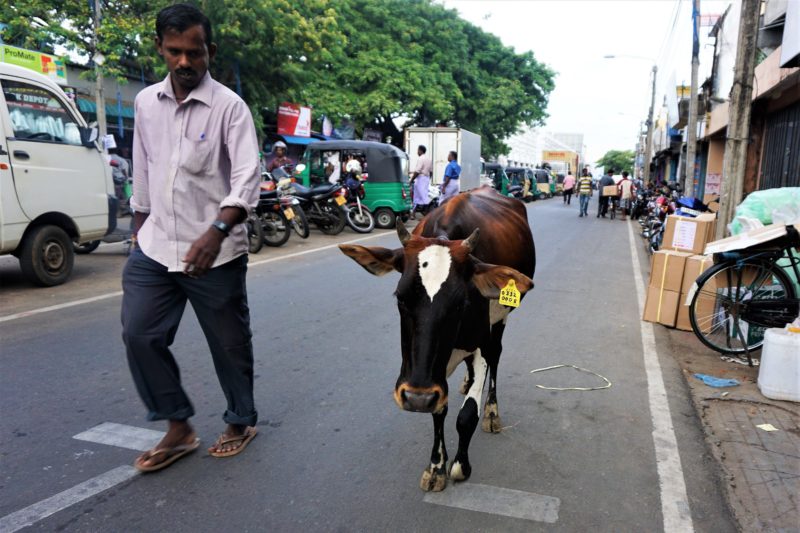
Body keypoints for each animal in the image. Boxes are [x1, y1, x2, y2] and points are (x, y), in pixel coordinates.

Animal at [340, 187, 536, 490]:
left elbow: (467, 414)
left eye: (461, 303)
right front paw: (436, 466)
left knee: (496, 355)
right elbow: (438, 411)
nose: (416, 398)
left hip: (500, 319)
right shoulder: (433, 374)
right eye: (401, 298)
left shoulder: (480, 341)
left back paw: (491, 411)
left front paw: (460, 465)